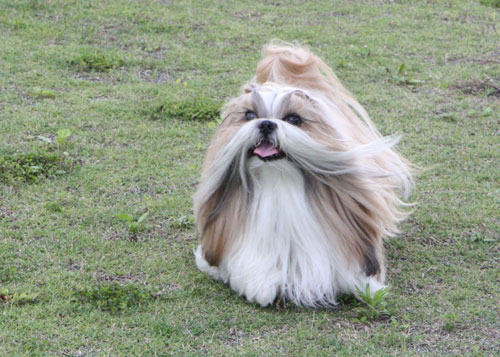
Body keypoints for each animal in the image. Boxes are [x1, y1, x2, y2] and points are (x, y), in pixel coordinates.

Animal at [193, 43, 412, 306]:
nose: (266, 123)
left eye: (293, 119)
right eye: (250, 115)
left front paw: (366, 285)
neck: (279, 182)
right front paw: (263, 285)